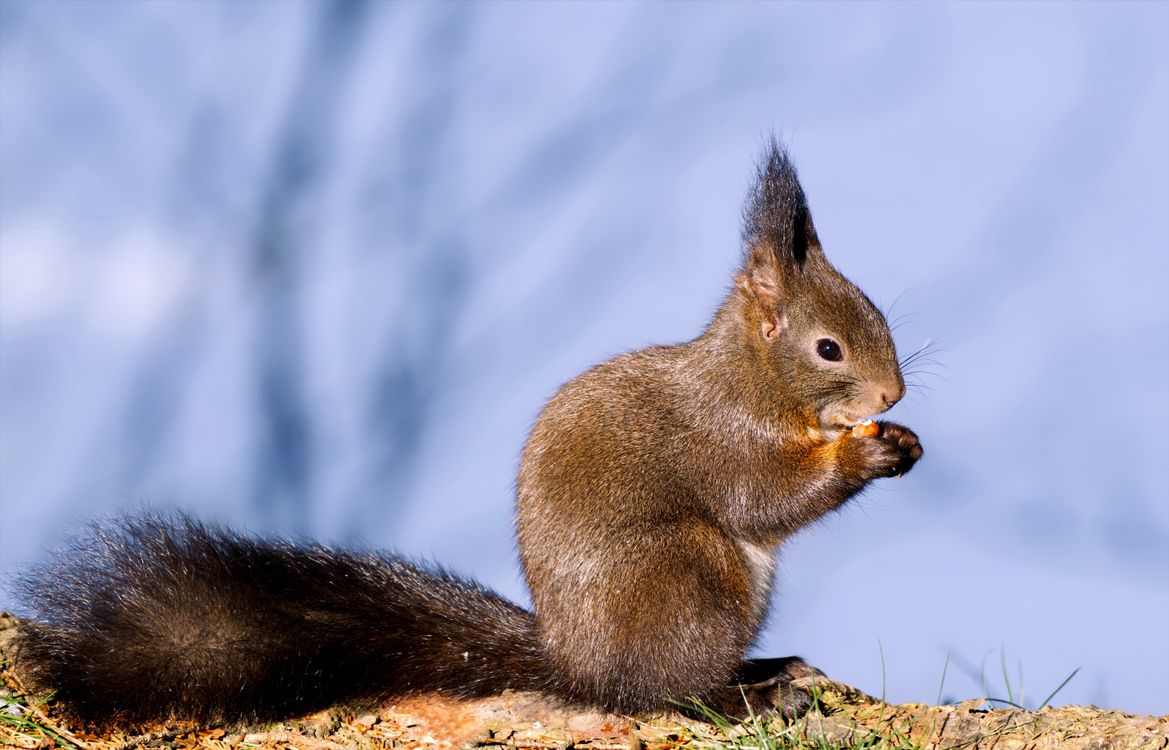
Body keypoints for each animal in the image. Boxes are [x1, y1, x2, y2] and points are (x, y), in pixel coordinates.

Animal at [13, 140, 922, 726]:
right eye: (829, 348)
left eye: (877, 313)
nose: (894, 391)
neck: (756, 381)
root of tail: (572, 662)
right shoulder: (720, 436)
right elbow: (765, 496)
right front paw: (869, 450)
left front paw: (903, 440)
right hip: (688, 575)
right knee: (664, 692)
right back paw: (751, 694)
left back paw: (770, 666)